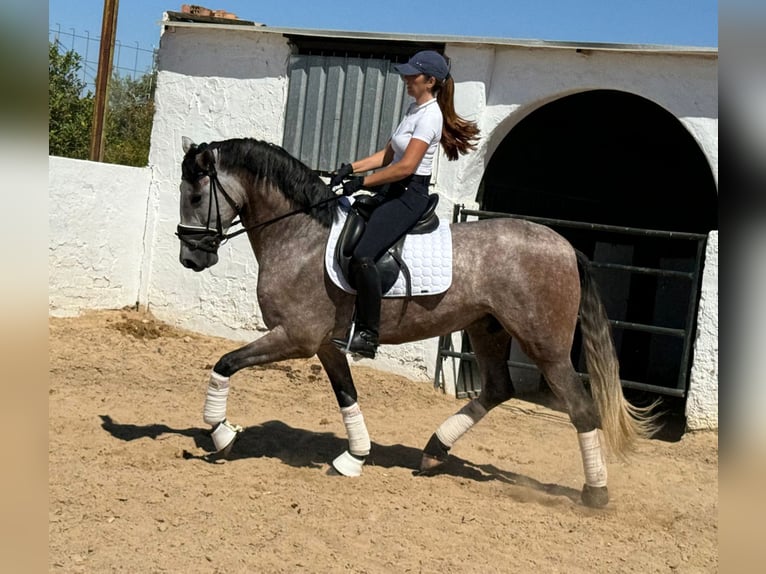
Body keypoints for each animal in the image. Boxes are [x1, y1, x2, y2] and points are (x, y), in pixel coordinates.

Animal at [177, 137, 656, 510]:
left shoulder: (296, 337)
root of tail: (565, 246)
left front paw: (221, 434)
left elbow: (225, 363)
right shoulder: (325, 344)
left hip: (546, 346)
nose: (190, 259)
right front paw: (355, 457)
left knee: (581, 409)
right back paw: (433, 452)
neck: (301, 236)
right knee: (498, 389)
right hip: (487, 328)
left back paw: (595, 494)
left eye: (196, 197)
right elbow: (346, 394)